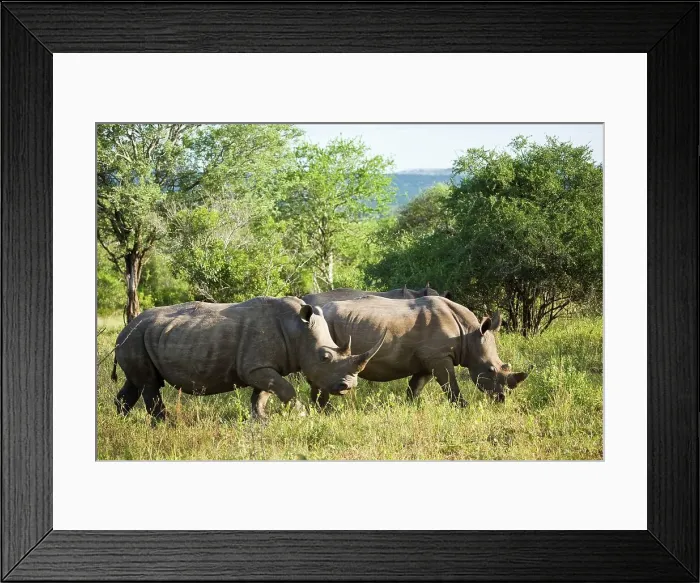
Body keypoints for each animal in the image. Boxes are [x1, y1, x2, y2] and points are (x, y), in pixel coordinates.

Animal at [110, 297, 384, 421]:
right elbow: (286, 389)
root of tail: (125, 329)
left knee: (135, 383)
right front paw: (301, 416)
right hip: (135, 338)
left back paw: (121, 421)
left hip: (139, 338)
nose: (348, 386)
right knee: (149, 384)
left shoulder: (261, 366)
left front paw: (261, 421)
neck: (297, 330)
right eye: (325, 357)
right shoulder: (255, 367)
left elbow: (262, 395)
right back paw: (166, 425)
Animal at [312, 295, 528, 408]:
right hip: (326, 327)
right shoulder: (439, 357)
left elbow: (416, 386)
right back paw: (325, 409)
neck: (469, 335)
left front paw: (411, 407)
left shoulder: (428, 359)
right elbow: (450, 384)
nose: (502, 399)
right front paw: (462, 407)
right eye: (490, 370)